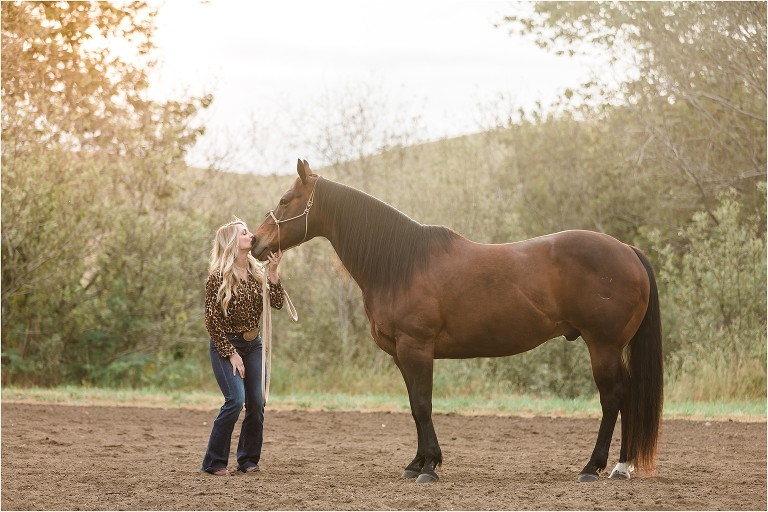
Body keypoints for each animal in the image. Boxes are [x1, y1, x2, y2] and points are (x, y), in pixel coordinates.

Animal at [251, 159, 663, 484]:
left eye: (285, 201)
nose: (255, 242)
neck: (400, 264)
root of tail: (627, 251)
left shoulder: (416, 346)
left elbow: (422, 404)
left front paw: (429, 467)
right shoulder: (402, 354)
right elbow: (414, 406)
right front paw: (416, 463)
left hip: (602, 346)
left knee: (613, 399)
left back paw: (592, 468)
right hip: (611, 349)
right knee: (627, 397)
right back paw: (621, 467)